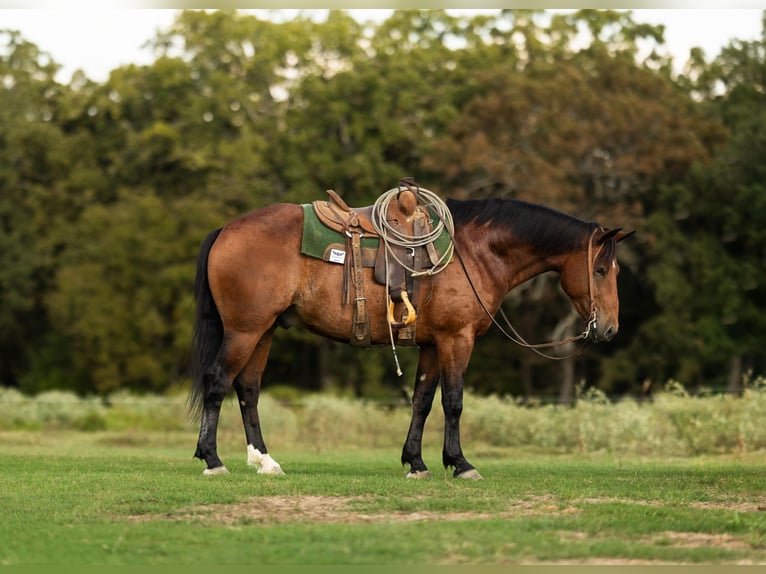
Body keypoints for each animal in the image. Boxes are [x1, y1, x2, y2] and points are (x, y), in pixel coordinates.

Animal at [189, 196, 632, 480]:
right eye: (600, 270)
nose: (609, 328)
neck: (474, 252)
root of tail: (226, 229)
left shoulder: (432, 344)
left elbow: (422, 401)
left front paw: (416, 462)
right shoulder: (457, 339)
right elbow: (453, 402)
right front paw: (461, 464)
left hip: (263, 331)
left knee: (248, 390)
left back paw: (265, 462)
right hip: (244, 331)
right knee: (217, 382)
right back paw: (212, 459)